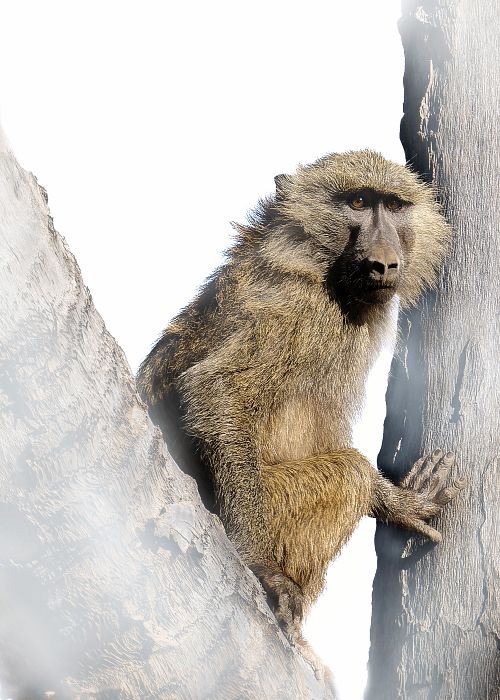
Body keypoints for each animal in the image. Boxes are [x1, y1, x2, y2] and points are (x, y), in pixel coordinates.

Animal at [136, 150, 465, 676]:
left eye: (394, 206)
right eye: (357, 202)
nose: (384, 263)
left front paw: (401, 502)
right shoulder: (295, 313)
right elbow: (214, 392)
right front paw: (260, 569)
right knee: (349, 474)